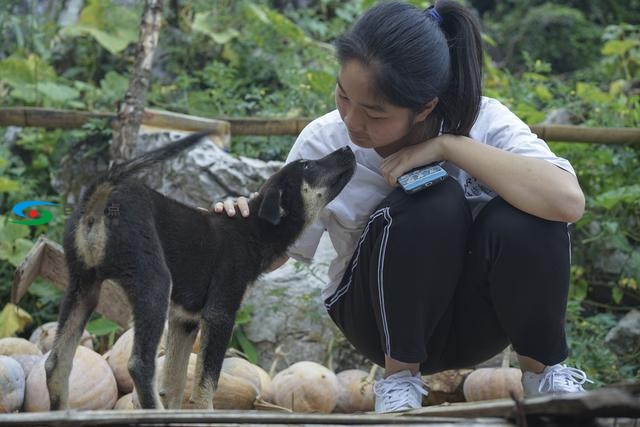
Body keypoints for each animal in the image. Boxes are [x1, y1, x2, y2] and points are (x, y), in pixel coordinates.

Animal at [45, 132, 356, 410]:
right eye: (308, 166)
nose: (347, 149)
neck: (254, 229)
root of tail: (103, 192)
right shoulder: (220, 314)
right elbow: (206, 382)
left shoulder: (185, 319)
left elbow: (174, 381)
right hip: (155, 285)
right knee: (139, 365)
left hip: (82, 286)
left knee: (55, 363)